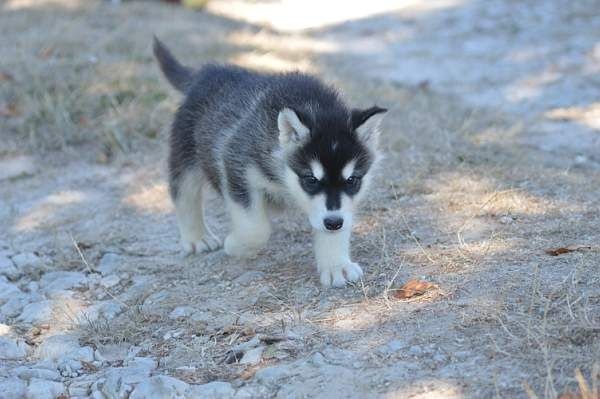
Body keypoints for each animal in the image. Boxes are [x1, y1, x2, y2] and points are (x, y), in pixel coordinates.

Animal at [155, 37, 386, 288]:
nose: (333, 223)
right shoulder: (235, 166)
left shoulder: (340, 206)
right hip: (185, 153)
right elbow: (255, 229)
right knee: (184, 195)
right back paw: (197, 238)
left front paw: (336, 266)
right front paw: (235, 245)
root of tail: (206, 73)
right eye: (311, 180)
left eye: (352, 180)